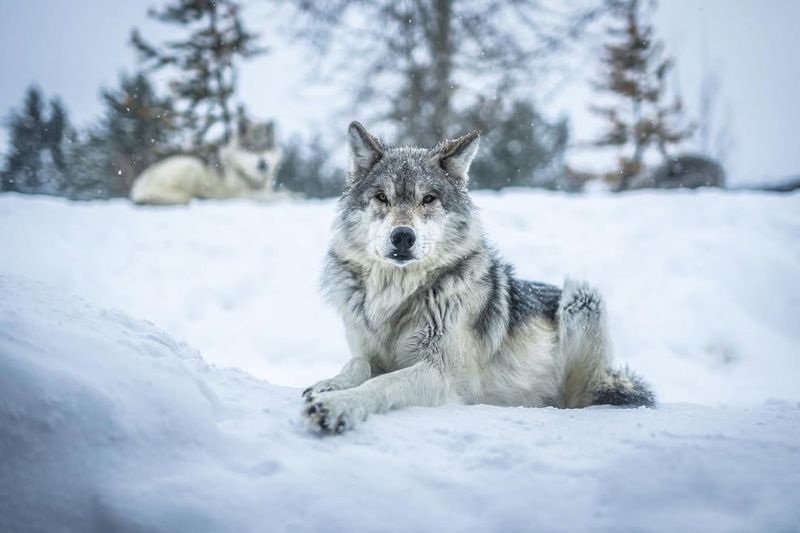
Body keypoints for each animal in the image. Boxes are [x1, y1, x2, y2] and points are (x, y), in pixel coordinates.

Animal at [130, 119, 282, 205]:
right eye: (251, 149)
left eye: (265, 148)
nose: (263, 164)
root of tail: (136, 188)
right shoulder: (242, 194)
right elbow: (281, 195)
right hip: (193, 164)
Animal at [304, 122, 652, 434]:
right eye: (381, 197)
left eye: (428, 199)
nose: (402, 236)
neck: (396, 296)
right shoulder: (368, 352)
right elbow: (358, 365)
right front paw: (328, 385)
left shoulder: (441, 374)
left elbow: (383, 384)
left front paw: (338, 405)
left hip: (582, 299)